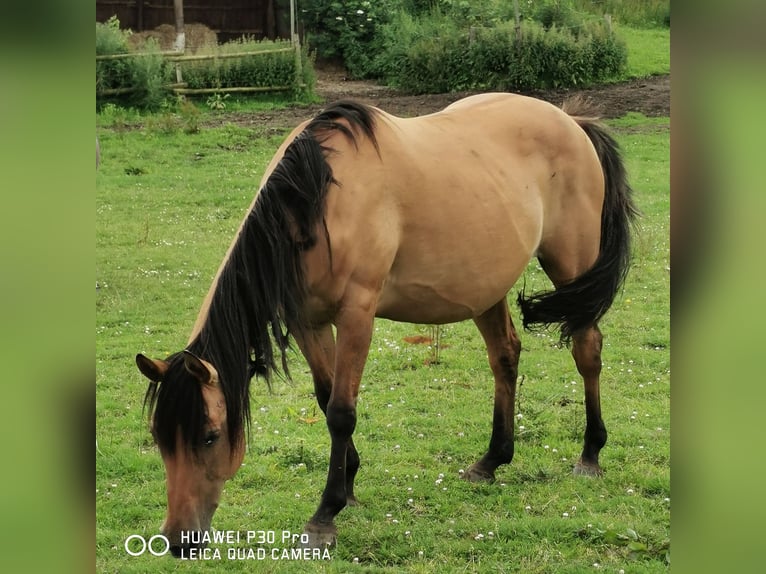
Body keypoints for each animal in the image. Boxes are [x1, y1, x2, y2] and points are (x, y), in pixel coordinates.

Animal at [136, 92, 637, 555]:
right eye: (159, 438)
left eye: (209, 436)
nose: (178, 539)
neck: (317, 201)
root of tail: (570, 121)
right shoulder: (307, 321)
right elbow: (326, 398)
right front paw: (349, 485)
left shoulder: (358, 315)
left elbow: (341, 412)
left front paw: (326, 514)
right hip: (486, 286)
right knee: (505, 356)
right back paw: (491, 460)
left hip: (571, 265)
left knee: (587, 349)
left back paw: (590, 453)